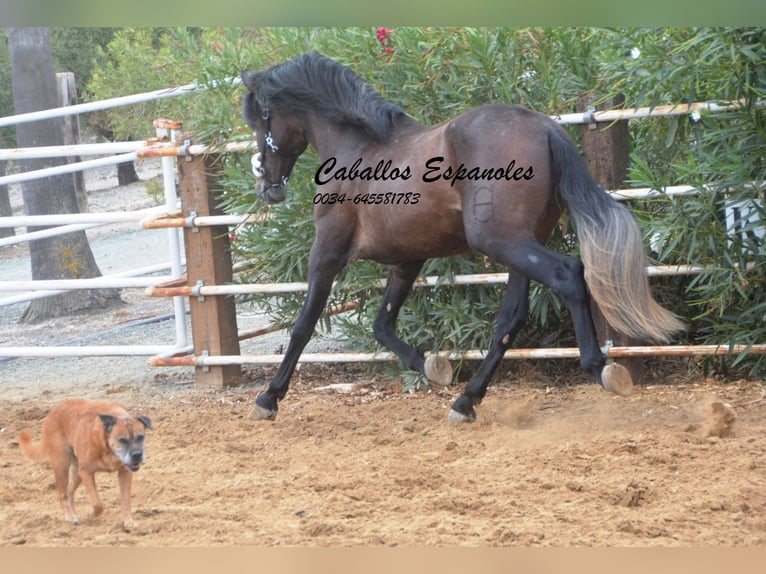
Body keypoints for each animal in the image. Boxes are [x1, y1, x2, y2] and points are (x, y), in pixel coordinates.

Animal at [18, 400, 153, 532]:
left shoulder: (125, 473)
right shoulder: (86, 472)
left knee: (69, 492)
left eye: (141, 437)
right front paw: (91, 514)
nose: (137, 455)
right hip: (62, 465)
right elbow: (97, 503)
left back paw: (73, 513)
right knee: (62, 494)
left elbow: (125, 500)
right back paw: (70, 516)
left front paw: (128, 521)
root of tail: (52, 413)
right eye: (122, 440)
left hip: (76, 472)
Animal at [240, 51, 684, 426]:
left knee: (569, 274)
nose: (267, 187)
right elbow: (382, 325)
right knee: (511, 318)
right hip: (520, 244)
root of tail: (544, 127)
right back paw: (466, 401)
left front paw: (269, 398)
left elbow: (303, 326)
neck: (359, 147)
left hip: (502, 242)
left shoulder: (327, 251)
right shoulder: (408, 259)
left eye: (260, 119)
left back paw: (602, 368)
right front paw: (433, 366)